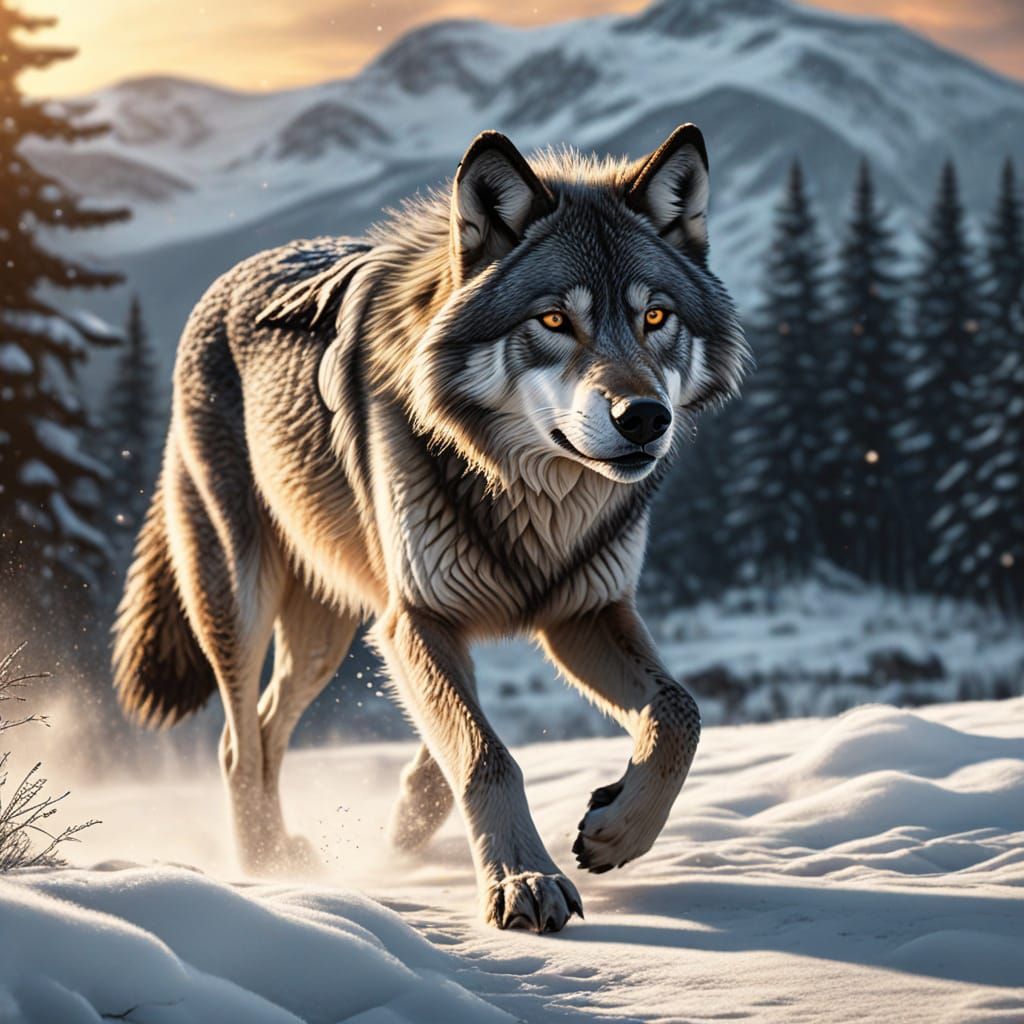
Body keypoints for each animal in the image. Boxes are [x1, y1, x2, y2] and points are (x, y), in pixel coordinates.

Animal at [112, 123, 748, 933]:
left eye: (655, 318)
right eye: (554, 320)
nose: (644, 418)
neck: (529, 492)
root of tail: (232, 275)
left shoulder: (582, 610)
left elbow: (680, 714)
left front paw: (616, 830)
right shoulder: (415, 617)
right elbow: (485, 754)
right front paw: (522, 881)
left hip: (324, 637)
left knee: (268, 722)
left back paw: (307, 846)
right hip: (240, 600)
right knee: (237, 742)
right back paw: (265, 868)